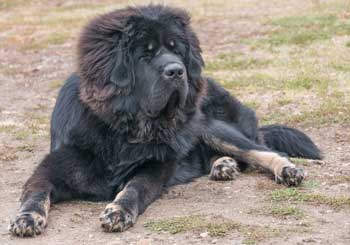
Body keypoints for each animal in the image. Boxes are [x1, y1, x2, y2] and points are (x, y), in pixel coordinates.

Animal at [8, 4, 320, 237]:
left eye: (176, 49)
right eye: (145, 54)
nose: (177, 71)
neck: (125, 129)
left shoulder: (155, 166)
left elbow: (134, 187)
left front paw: (119, 210)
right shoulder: (52, 167)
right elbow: (36, 192)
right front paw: (27, 218)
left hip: (209, 126)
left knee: (261, 150)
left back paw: (286, 170)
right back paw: (222, 165)